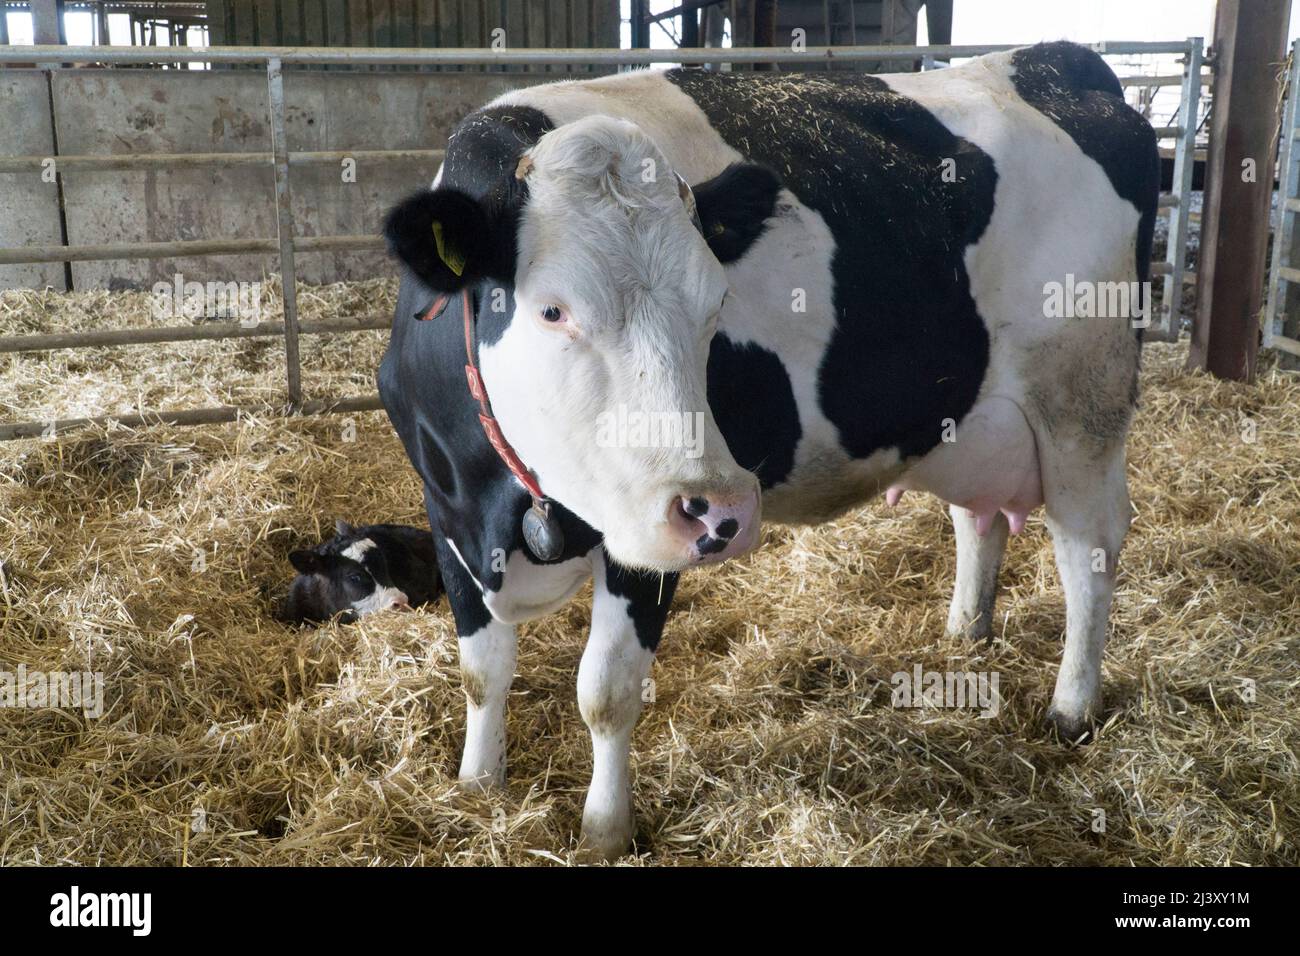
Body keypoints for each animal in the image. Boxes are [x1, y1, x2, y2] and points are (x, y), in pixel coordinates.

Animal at [377, 44, 1159, 863]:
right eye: (552, 309)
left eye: (716, 303)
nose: (721, 506)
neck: (507, 500)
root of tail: (1050, 59)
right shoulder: (447, 511)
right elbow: (481, 672)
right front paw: (477, 787)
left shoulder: (645, 541)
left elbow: (607, 692)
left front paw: (604, 830)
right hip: (969, 422)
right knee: (977, 520)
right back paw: (965, 634)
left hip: (1082, 402)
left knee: (1089, 546)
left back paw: (1072, 706)